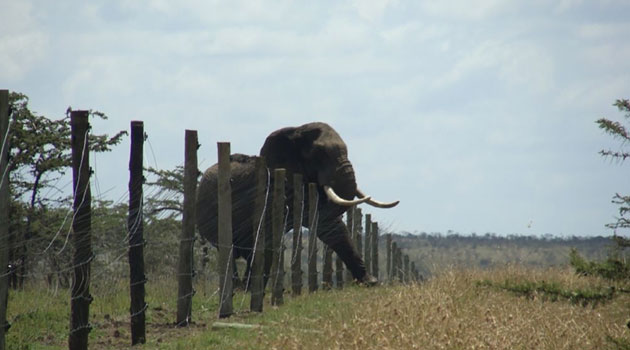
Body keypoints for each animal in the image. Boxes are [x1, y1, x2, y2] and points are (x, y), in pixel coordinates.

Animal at [198, 121, 400, 288]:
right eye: (319, 155)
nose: (373, 282)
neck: (294, 131)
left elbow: (329, 225)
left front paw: (370, 282)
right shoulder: (273, 190)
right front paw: (251, 291)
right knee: (228, 250)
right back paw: (237, 290)